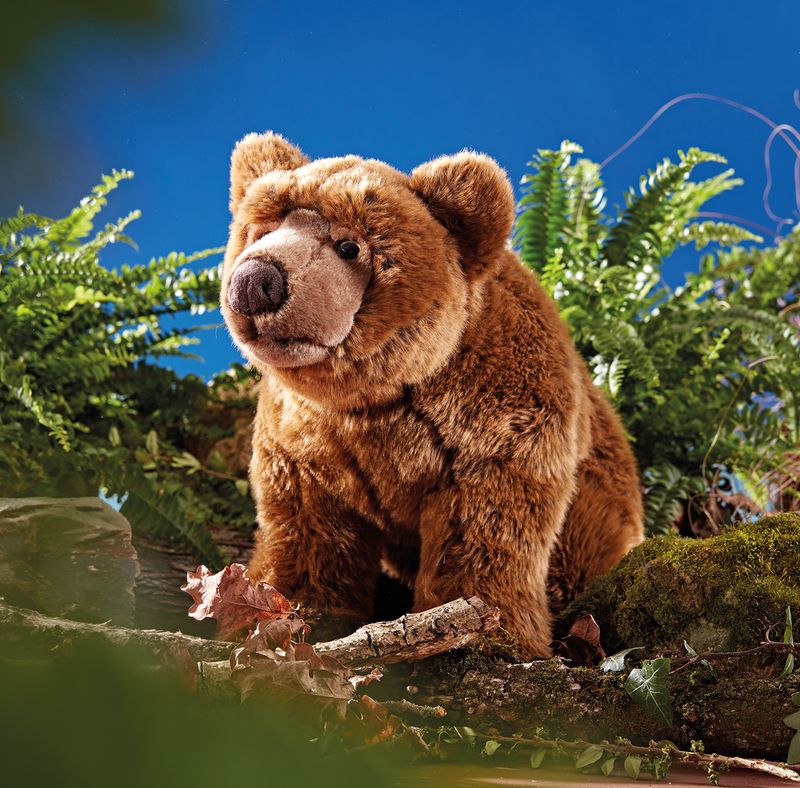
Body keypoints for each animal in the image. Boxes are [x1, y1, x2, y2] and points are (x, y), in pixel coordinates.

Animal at [220, 132, 644, 657]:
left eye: (349, 246)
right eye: (260, 231)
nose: (255, 281)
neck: (376, 396)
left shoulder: (494, 423)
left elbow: (482, 533)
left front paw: (483, 634)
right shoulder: (308, 441)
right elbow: (308, 534)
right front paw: (278, 615)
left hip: (597, 507)